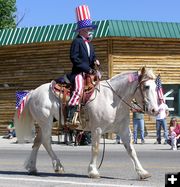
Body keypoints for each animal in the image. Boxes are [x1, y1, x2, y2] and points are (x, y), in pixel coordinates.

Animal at [13, 67, 158, 180]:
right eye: (146, 86)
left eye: (157, 87)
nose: (155, 110)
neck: (112, 98)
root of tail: (33, 93)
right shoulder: (97, 129)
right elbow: (95, 148)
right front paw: (93, 171)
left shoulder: (124, 130)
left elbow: (131, 150)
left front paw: (142, 172)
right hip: (45, 123)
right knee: (46, 142)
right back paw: (58, 166)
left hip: (44, 124)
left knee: (37, 142)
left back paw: (32, 167)